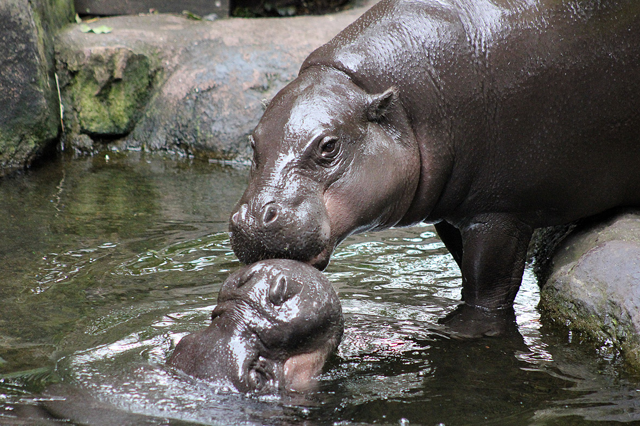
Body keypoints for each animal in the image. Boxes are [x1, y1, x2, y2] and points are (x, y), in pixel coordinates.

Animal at [229, 0, 640, 336]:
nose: (251, 219)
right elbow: (465, 268)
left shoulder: (499, 215)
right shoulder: (453, 213)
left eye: (329, 146)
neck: (402, 108)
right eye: (253, 141)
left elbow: (487, 290)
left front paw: (461, 328)